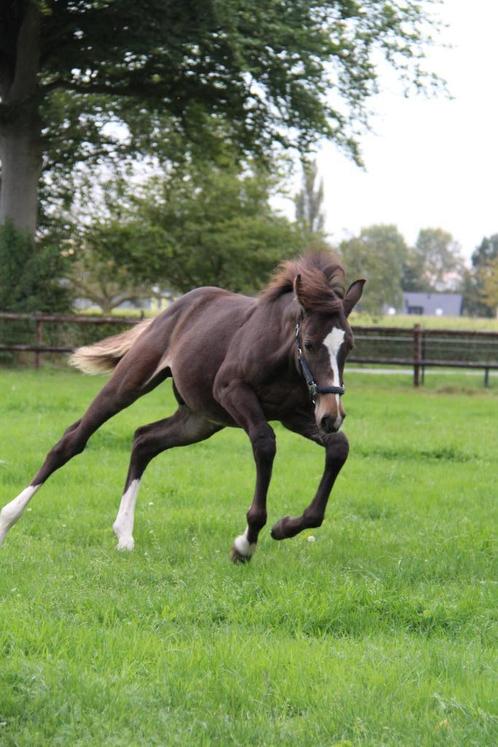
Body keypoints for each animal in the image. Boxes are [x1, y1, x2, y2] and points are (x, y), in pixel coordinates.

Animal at [0, 251, 366, 560]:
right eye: (309, 343)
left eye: (349, 345)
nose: (333, 415)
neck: (283, 354)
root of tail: (173, 308)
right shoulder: (233, 392)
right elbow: (265, 443)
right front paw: (245, 544)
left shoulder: (296, 414)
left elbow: (339, 448)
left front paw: (284, 527)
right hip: (131, 383)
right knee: (72, 440)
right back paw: (7, 520)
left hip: (199, 420)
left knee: (144, 440)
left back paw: (124, 534)